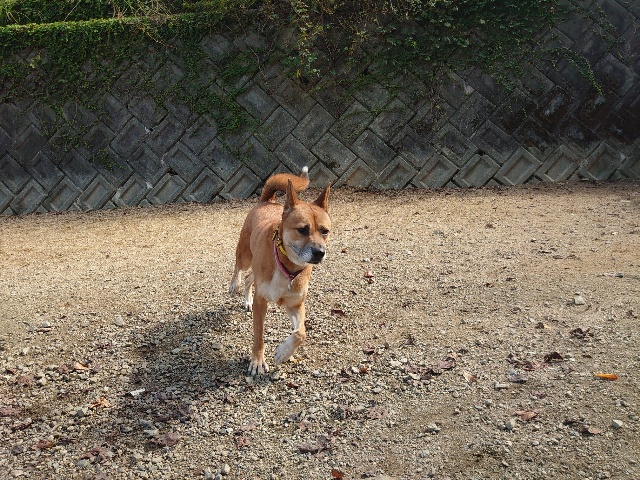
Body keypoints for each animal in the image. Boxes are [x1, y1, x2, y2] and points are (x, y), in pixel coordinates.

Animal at [229, 167, 331, 375]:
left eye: (325, 231)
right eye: (303, 229)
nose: (319, 253)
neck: (288, 267)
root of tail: (267, 201)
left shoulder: (295, 304)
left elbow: (301, 333)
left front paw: (283, 353)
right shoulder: (262, 302)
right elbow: (259, 336)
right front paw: (257, 361)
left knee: (249, 278)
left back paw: (247, 299)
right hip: (245, 255)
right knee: (239, 269)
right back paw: (234, 285)